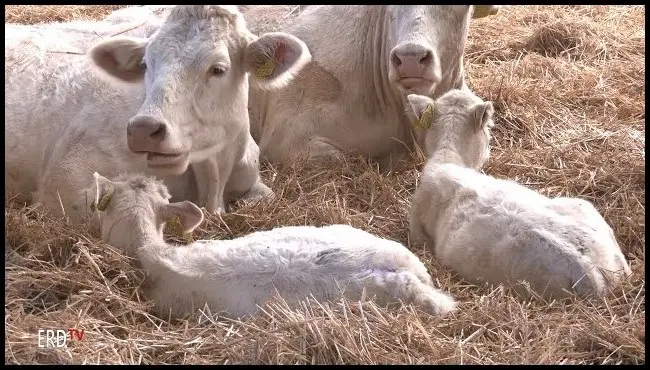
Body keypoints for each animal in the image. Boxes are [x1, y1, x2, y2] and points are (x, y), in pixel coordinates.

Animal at [3, 5, 310, 223]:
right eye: (145, 64)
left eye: (218, 69)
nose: (142, 129)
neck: (212, 177)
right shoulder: (65, 184)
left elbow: (265, 195)